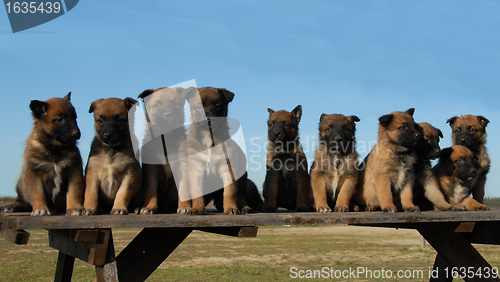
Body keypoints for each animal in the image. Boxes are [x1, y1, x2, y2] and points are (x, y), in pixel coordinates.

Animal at [186, 87, 252, 215]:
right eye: (198, 106)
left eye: (217, 105)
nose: (208, 119)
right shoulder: (195, 170)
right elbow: (197, 193)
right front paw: (196, 208)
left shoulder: (228, 169)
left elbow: (229, 192)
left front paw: (231, 208)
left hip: (242, 179)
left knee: (240, 196)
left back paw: (243, 207)